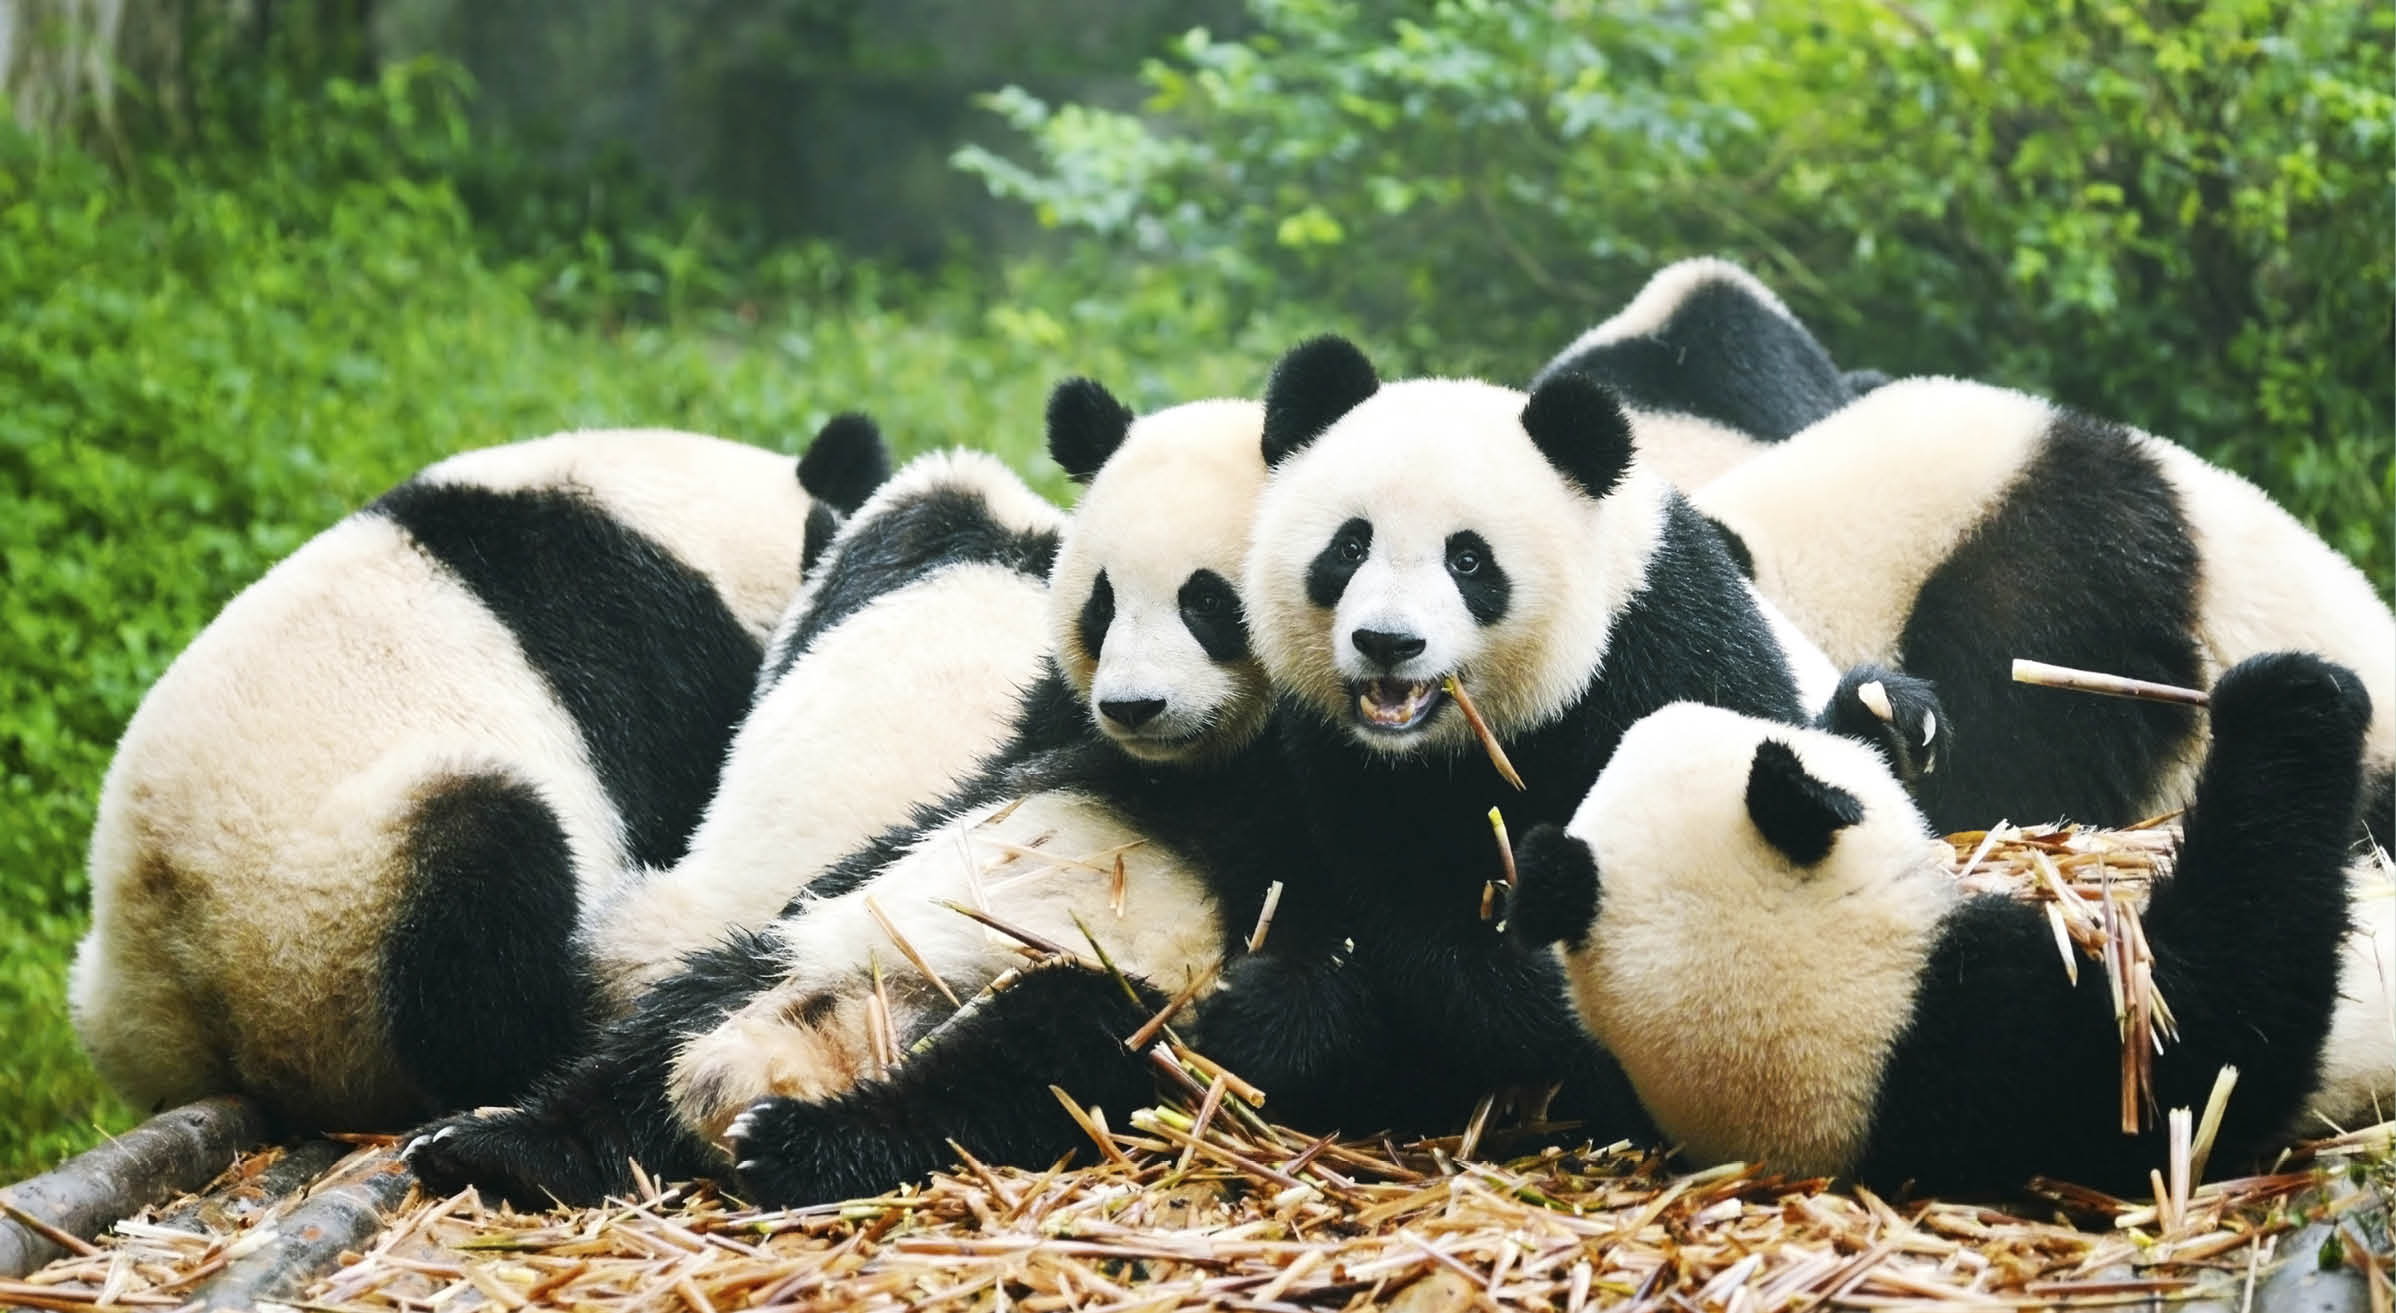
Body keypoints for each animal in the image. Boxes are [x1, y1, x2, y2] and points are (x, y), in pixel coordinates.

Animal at [1186, 334, 1879, 1137]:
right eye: (1349, 547)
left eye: (1467, 559)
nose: (1388, 642)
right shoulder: (1331, 758)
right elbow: (1373, 902)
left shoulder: (1663, 648)